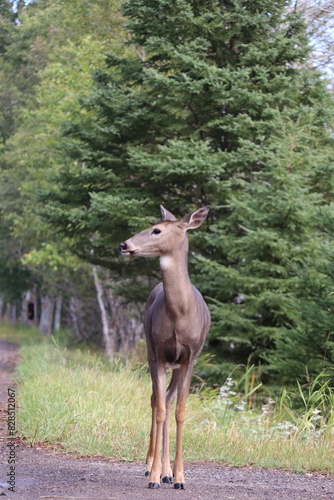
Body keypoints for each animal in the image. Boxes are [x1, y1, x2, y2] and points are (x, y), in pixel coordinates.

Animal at [118, 205, 210, 490]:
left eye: (156, 230)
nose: (124, 245)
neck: (180, 313)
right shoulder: (158, 353)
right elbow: (158, 409)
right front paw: (154, 476)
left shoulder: (189, 357)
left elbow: (179, 411)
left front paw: (180, 477)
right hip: (150, 352)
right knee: (156, 400)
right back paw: (152, 467)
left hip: (177, 364)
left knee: (168, 400)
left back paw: (168, 472)